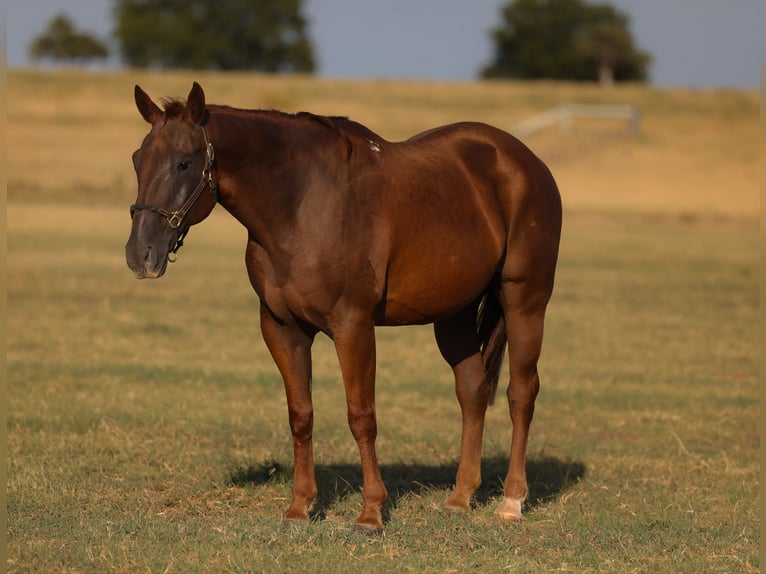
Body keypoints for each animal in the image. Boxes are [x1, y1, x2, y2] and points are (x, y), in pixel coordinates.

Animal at [126, 82, 562, 533]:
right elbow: (301, 415)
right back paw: (460, 498)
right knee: (472, 390)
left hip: (525, 301)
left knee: (521, 393)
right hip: (453, 314)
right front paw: (300, 507)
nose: (140, 255)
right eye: (138, 159)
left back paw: (511, 501)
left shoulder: (353, 326)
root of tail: (525, 160)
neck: (302, 204)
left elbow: (361, 416)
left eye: (183, 162)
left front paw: (371, 514)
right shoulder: (282, 327)